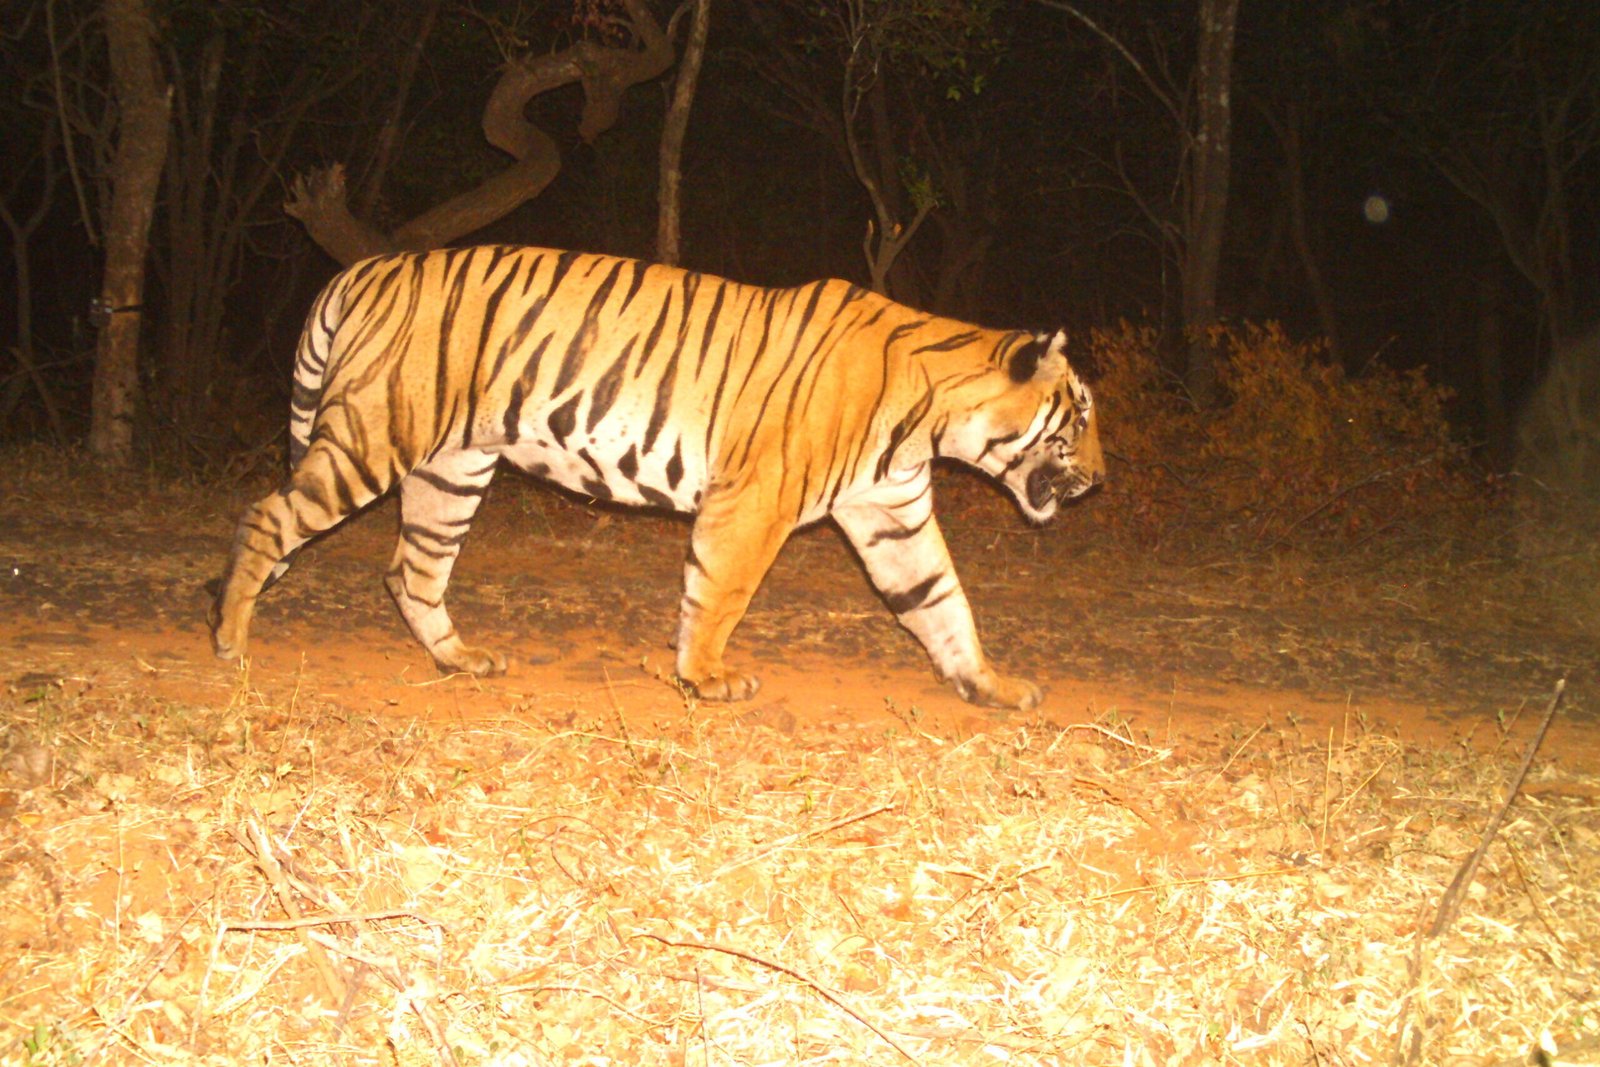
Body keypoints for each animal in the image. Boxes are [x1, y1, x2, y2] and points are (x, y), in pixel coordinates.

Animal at [209, 245, 1104, 710]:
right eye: (1082, 416)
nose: (1101, 479)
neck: (932, 419)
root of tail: (360, 267)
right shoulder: (755, 499)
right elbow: (721, 592)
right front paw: (705, 677)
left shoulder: (893, 513)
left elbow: (942, 600)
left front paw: (989, 682)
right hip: (373, 436)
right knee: (267, 518)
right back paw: (231, 643)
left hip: (452, 470)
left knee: (411, 569)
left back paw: (460, 660)